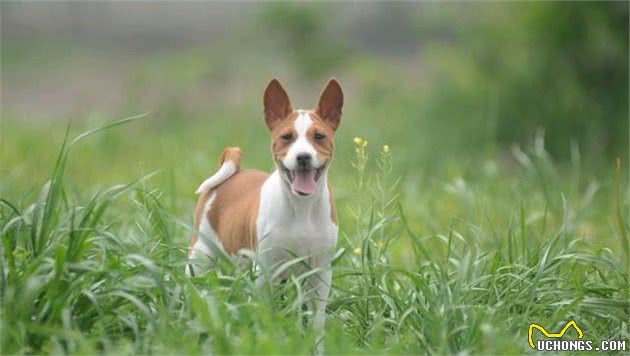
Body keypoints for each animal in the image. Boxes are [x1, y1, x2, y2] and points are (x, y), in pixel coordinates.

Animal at [188, 78, 346, 344]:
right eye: (287, 137)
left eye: (319, 136)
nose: (303, 157)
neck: (301, 208)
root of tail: (235, 171)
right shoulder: (264, 271)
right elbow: (263, 313)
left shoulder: (320, 273)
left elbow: (316, 321)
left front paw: (316, 344)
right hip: (200, 256)